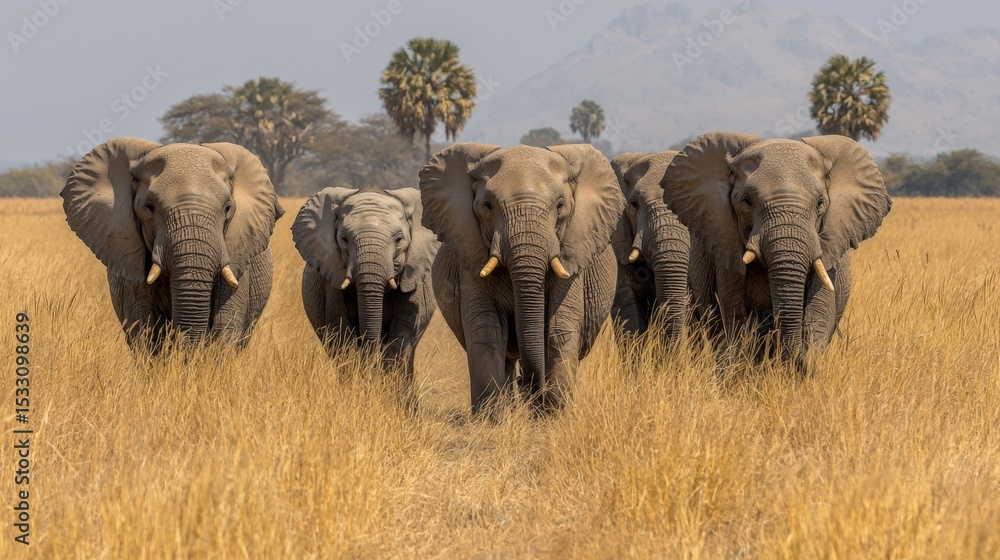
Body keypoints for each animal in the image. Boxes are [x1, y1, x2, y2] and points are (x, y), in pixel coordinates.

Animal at [291, 186, 438, 378]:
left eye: (399, 240)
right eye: (344, 239)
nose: (371, 366)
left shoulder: (413, 277)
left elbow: (402, 331)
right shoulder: (332, 277)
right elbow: (341, 331)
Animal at [419, 142, 625, 412]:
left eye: (560, 205)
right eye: (487, 205)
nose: (526, 385)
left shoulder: (572, 255)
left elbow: (560, 327)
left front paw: (554, 414)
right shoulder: (470, 252)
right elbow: (486, 328)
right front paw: (490, 417)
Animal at [661, 132, 892, 372]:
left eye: (820, 204)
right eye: (747, 202)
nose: (798, 361)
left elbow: (820, 308)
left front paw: (808, 363)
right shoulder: (725, 242)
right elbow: (736, 312)